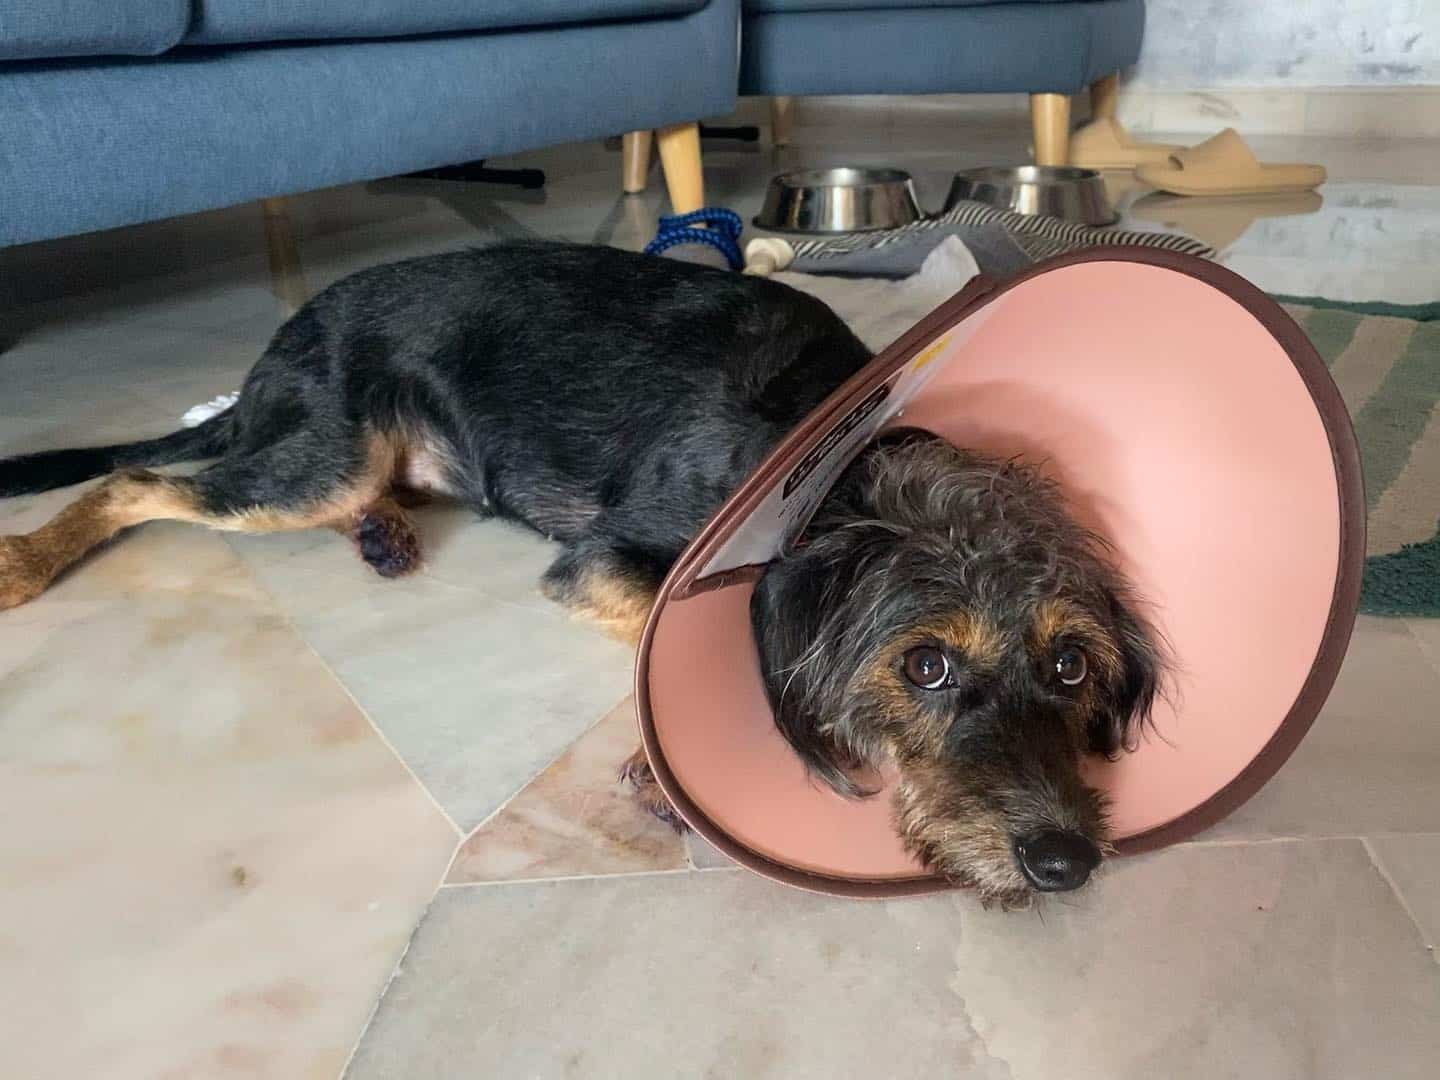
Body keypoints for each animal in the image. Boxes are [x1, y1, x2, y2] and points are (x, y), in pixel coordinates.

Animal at [0, 240, 1157, 910]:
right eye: (923, 668)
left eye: (1071, 667)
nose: (1068, 863)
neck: (833, 463)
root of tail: (273, 350)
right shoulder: (607, 559)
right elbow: (658, 630)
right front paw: (655, 758)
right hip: (315, 462)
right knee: (141, 479)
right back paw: (25, 561)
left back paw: (385, 535)